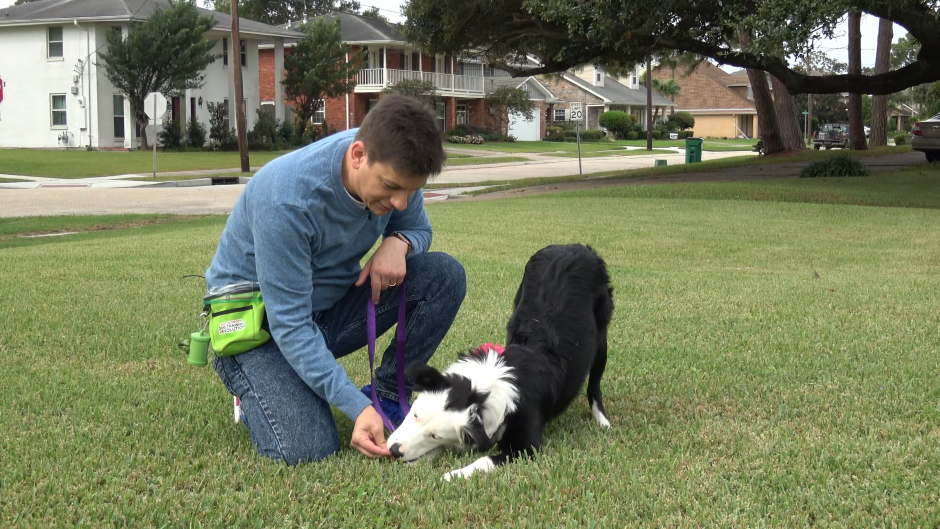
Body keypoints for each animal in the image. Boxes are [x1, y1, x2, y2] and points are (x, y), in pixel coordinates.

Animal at [386, 242, 612, 478]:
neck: (483, 391)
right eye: (415, 414)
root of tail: (574, 246)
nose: (394, 451)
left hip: (601, 338)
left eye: (434, 436)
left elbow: (483, 459)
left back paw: (602, 421)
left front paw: (452, 475)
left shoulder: (527, 447)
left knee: (594, 384)